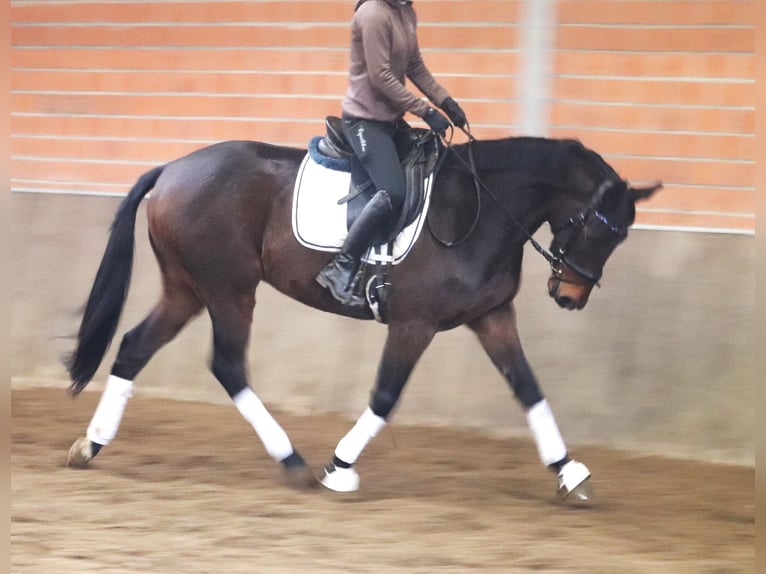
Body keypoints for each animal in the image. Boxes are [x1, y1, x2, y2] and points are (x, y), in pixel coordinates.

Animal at [64, 133, 660, 502]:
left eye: (620, 235)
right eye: (599, 227)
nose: (571, 296)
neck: (480, 209)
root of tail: (172, 168)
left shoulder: (492, 317)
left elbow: (530, 389)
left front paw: (570, 474)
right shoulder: (414, 323)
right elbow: (386, 396)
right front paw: (339, 468)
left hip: (187, 289)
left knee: (134, 347)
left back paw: (91, 445)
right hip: (229, 289)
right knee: (228, 365)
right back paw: (294, 461)